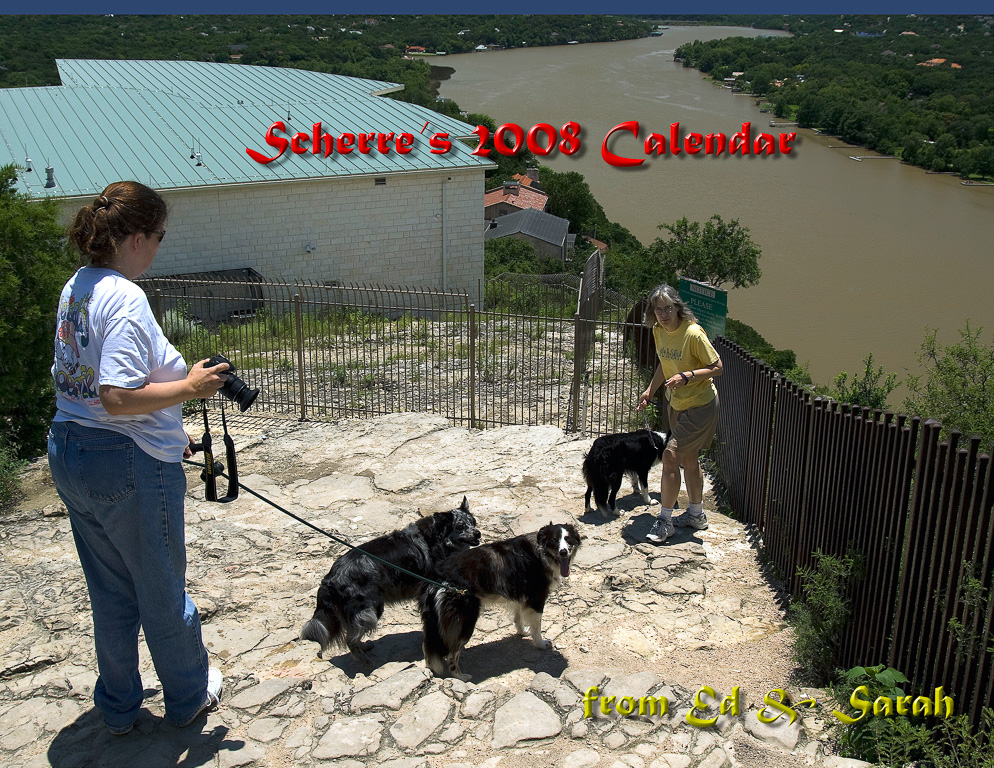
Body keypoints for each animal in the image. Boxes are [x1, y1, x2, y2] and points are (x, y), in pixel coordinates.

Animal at [298, 496, 480, 664]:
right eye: (460, 526)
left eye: (473, 522)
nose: (478, 533)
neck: (437, 538)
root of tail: (331, 577)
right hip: (371, 609)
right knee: (350, 639)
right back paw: (364, 660)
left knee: (353, 634)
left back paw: (364, 648)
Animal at [418, 520, 580, 680]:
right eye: (554, 540)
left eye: (568, 539)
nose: (563, 552)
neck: (542, 552)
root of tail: (437, 577)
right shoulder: (537, 599)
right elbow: (537, 626)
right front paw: (541, 644)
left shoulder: (520, 596)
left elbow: (518, 618)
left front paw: (522, 632)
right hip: (466, 619)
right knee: (452, 653)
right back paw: (461, 676)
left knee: (427, 648)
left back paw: (431, 670)